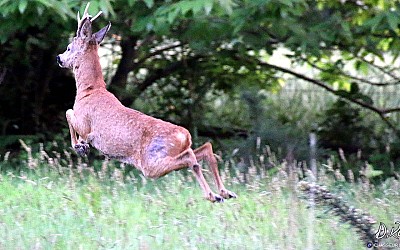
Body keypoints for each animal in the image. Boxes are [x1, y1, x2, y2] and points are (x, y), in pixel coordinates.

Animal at [57, 2, 238, 202]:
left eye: (68, 48)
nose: (58, 58)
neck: (89, 91)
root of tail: (185, 135)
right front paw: (82, 145)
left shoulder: (85, 122)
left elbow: (68, 112)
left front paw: (79, 146)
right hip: (166, 155)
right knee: (204, 149)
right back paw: (225, 192)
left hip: (150, 162)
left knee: (191, 159)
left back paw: (213, 195)